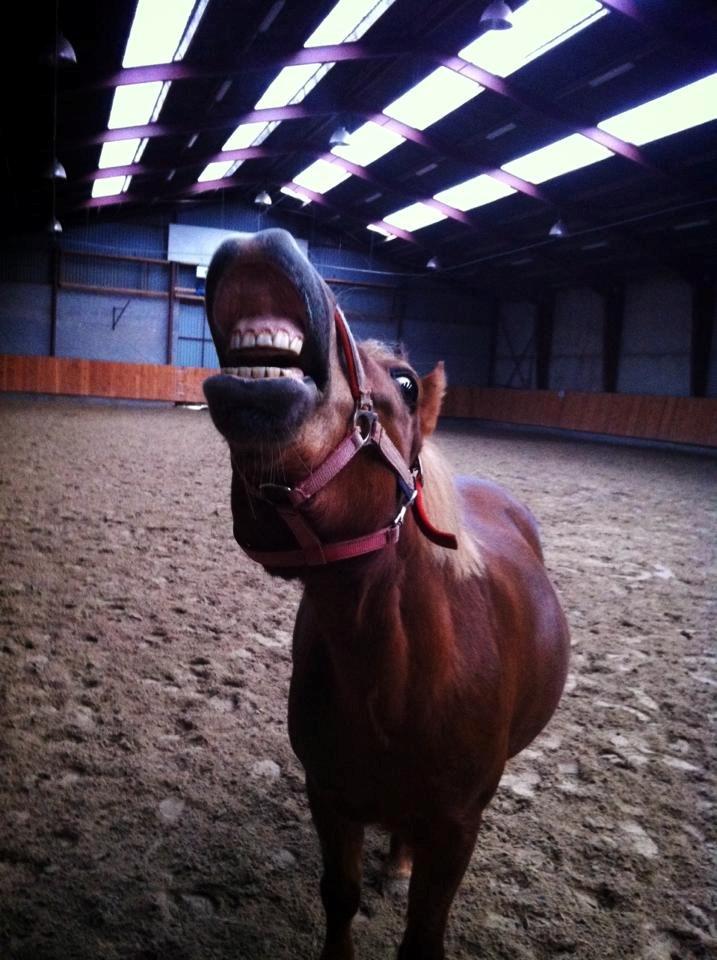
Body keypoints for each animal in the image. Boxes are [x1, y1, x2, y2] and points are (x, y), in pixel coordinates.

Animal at [202, 228, 570, 960]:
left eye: (403, 380)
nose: (258, 239)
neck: (393, 678)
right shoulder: (329, 796)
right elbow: (338, 897)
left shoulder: (456, 826)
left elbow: (422, 936)